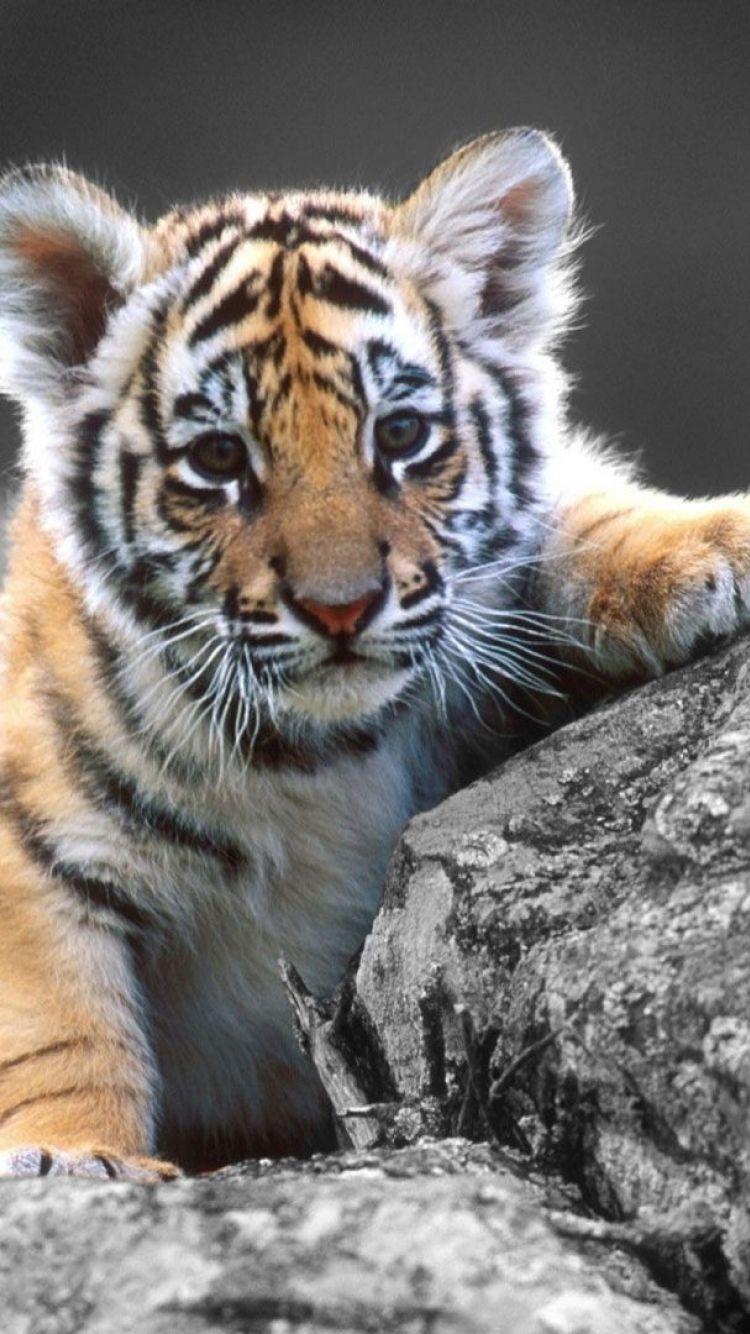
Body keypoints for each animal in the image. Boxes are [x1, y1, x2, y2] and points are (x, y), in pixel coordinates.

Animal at [0, 127, 747, 1181]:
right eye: (219, 459)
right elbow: (53, 1021)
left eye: (400, 434)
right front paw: (74, 1157)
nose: (341, 607)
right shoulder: (27, 839)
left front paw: (712, 545)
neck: (316, 757)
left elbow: (572, 518)